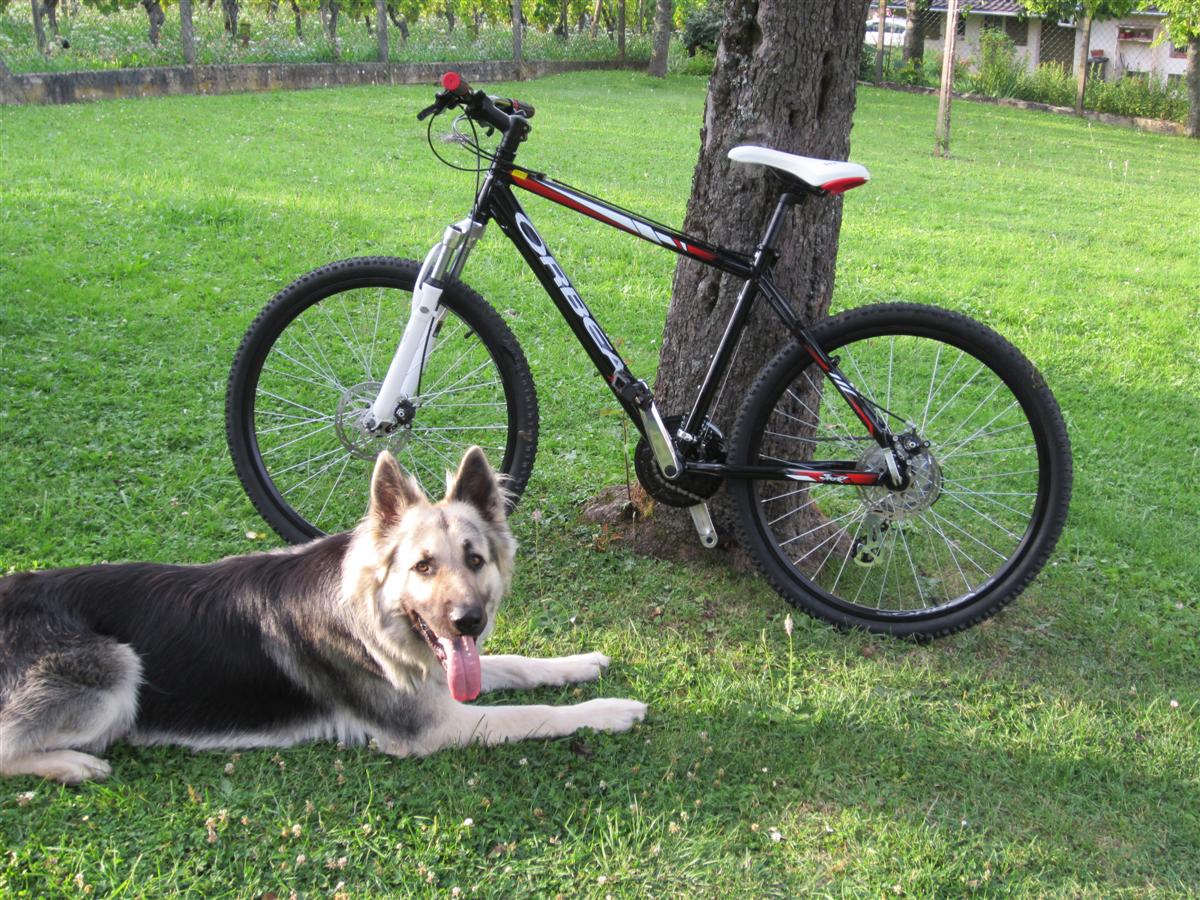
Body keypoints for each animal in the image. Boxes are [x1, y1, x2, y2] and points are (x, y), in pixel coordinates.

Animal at [0, 448, 648, 787]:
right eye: (422, 566)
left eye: (474, 559)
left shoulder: (445, 675)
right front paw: (608, 711)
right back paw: (73, 763)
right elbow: (537, 714)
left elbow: (516, 663)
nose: (467, 622)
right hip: (116, 672)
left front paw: (578, 664)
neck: (370, 620)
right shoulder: (432, 727)